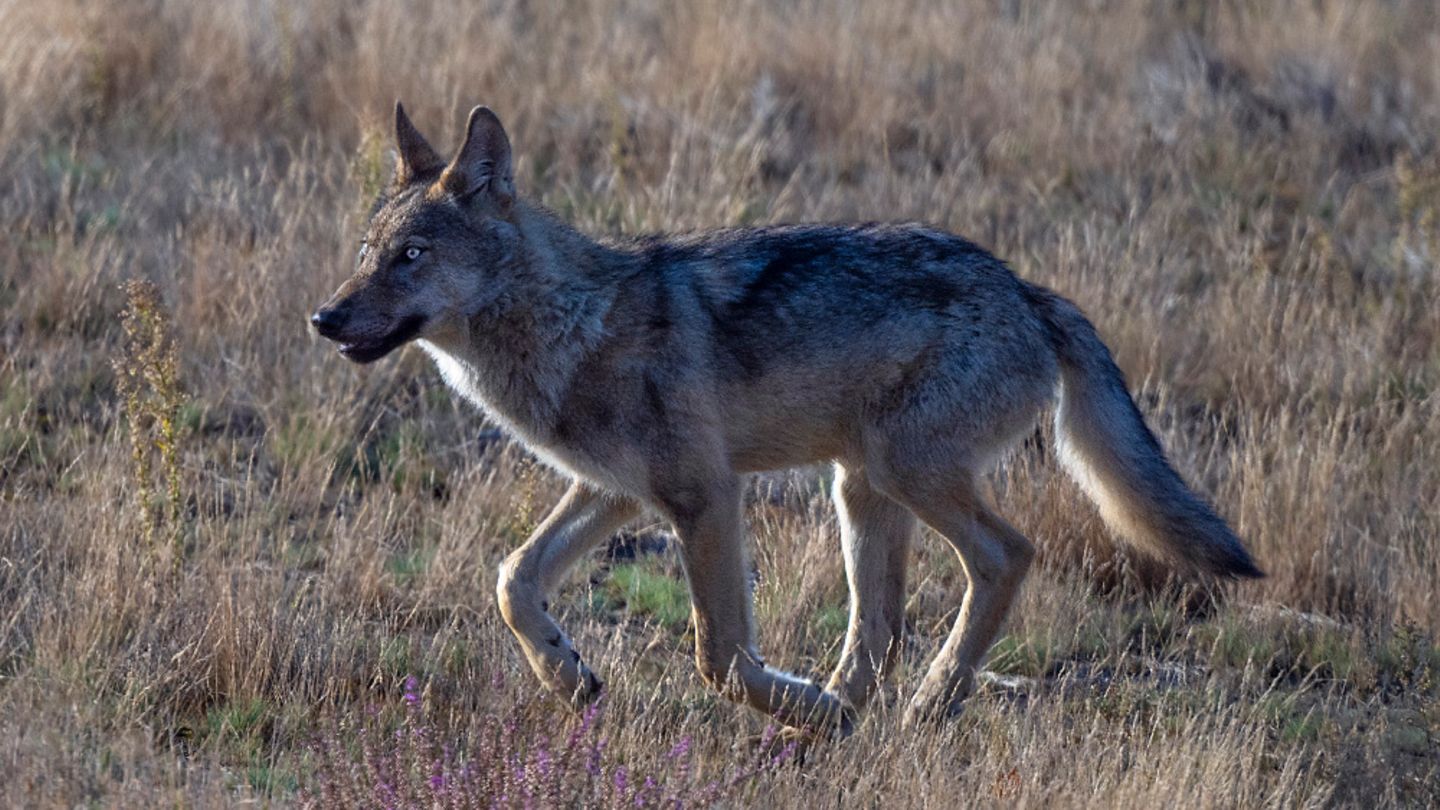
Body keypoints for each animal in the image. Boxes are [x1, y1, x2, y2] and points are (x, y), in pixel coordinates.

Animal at [312, 102, 1262, 737]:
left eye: (410, 257)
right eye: (364, 256)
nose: (323, 317)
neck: (570, 325)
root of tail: (1030, 293)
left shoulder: (704, 497)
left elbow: (721, 656)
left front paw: (785, 701)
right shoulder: (614, 492)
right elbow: (512, 579)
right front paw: (567, 676)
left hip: (905, 474)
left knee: (1006, 558)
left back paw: (912, 708)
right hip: (861, 490)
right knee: (881, 631)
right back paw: (844, 717)